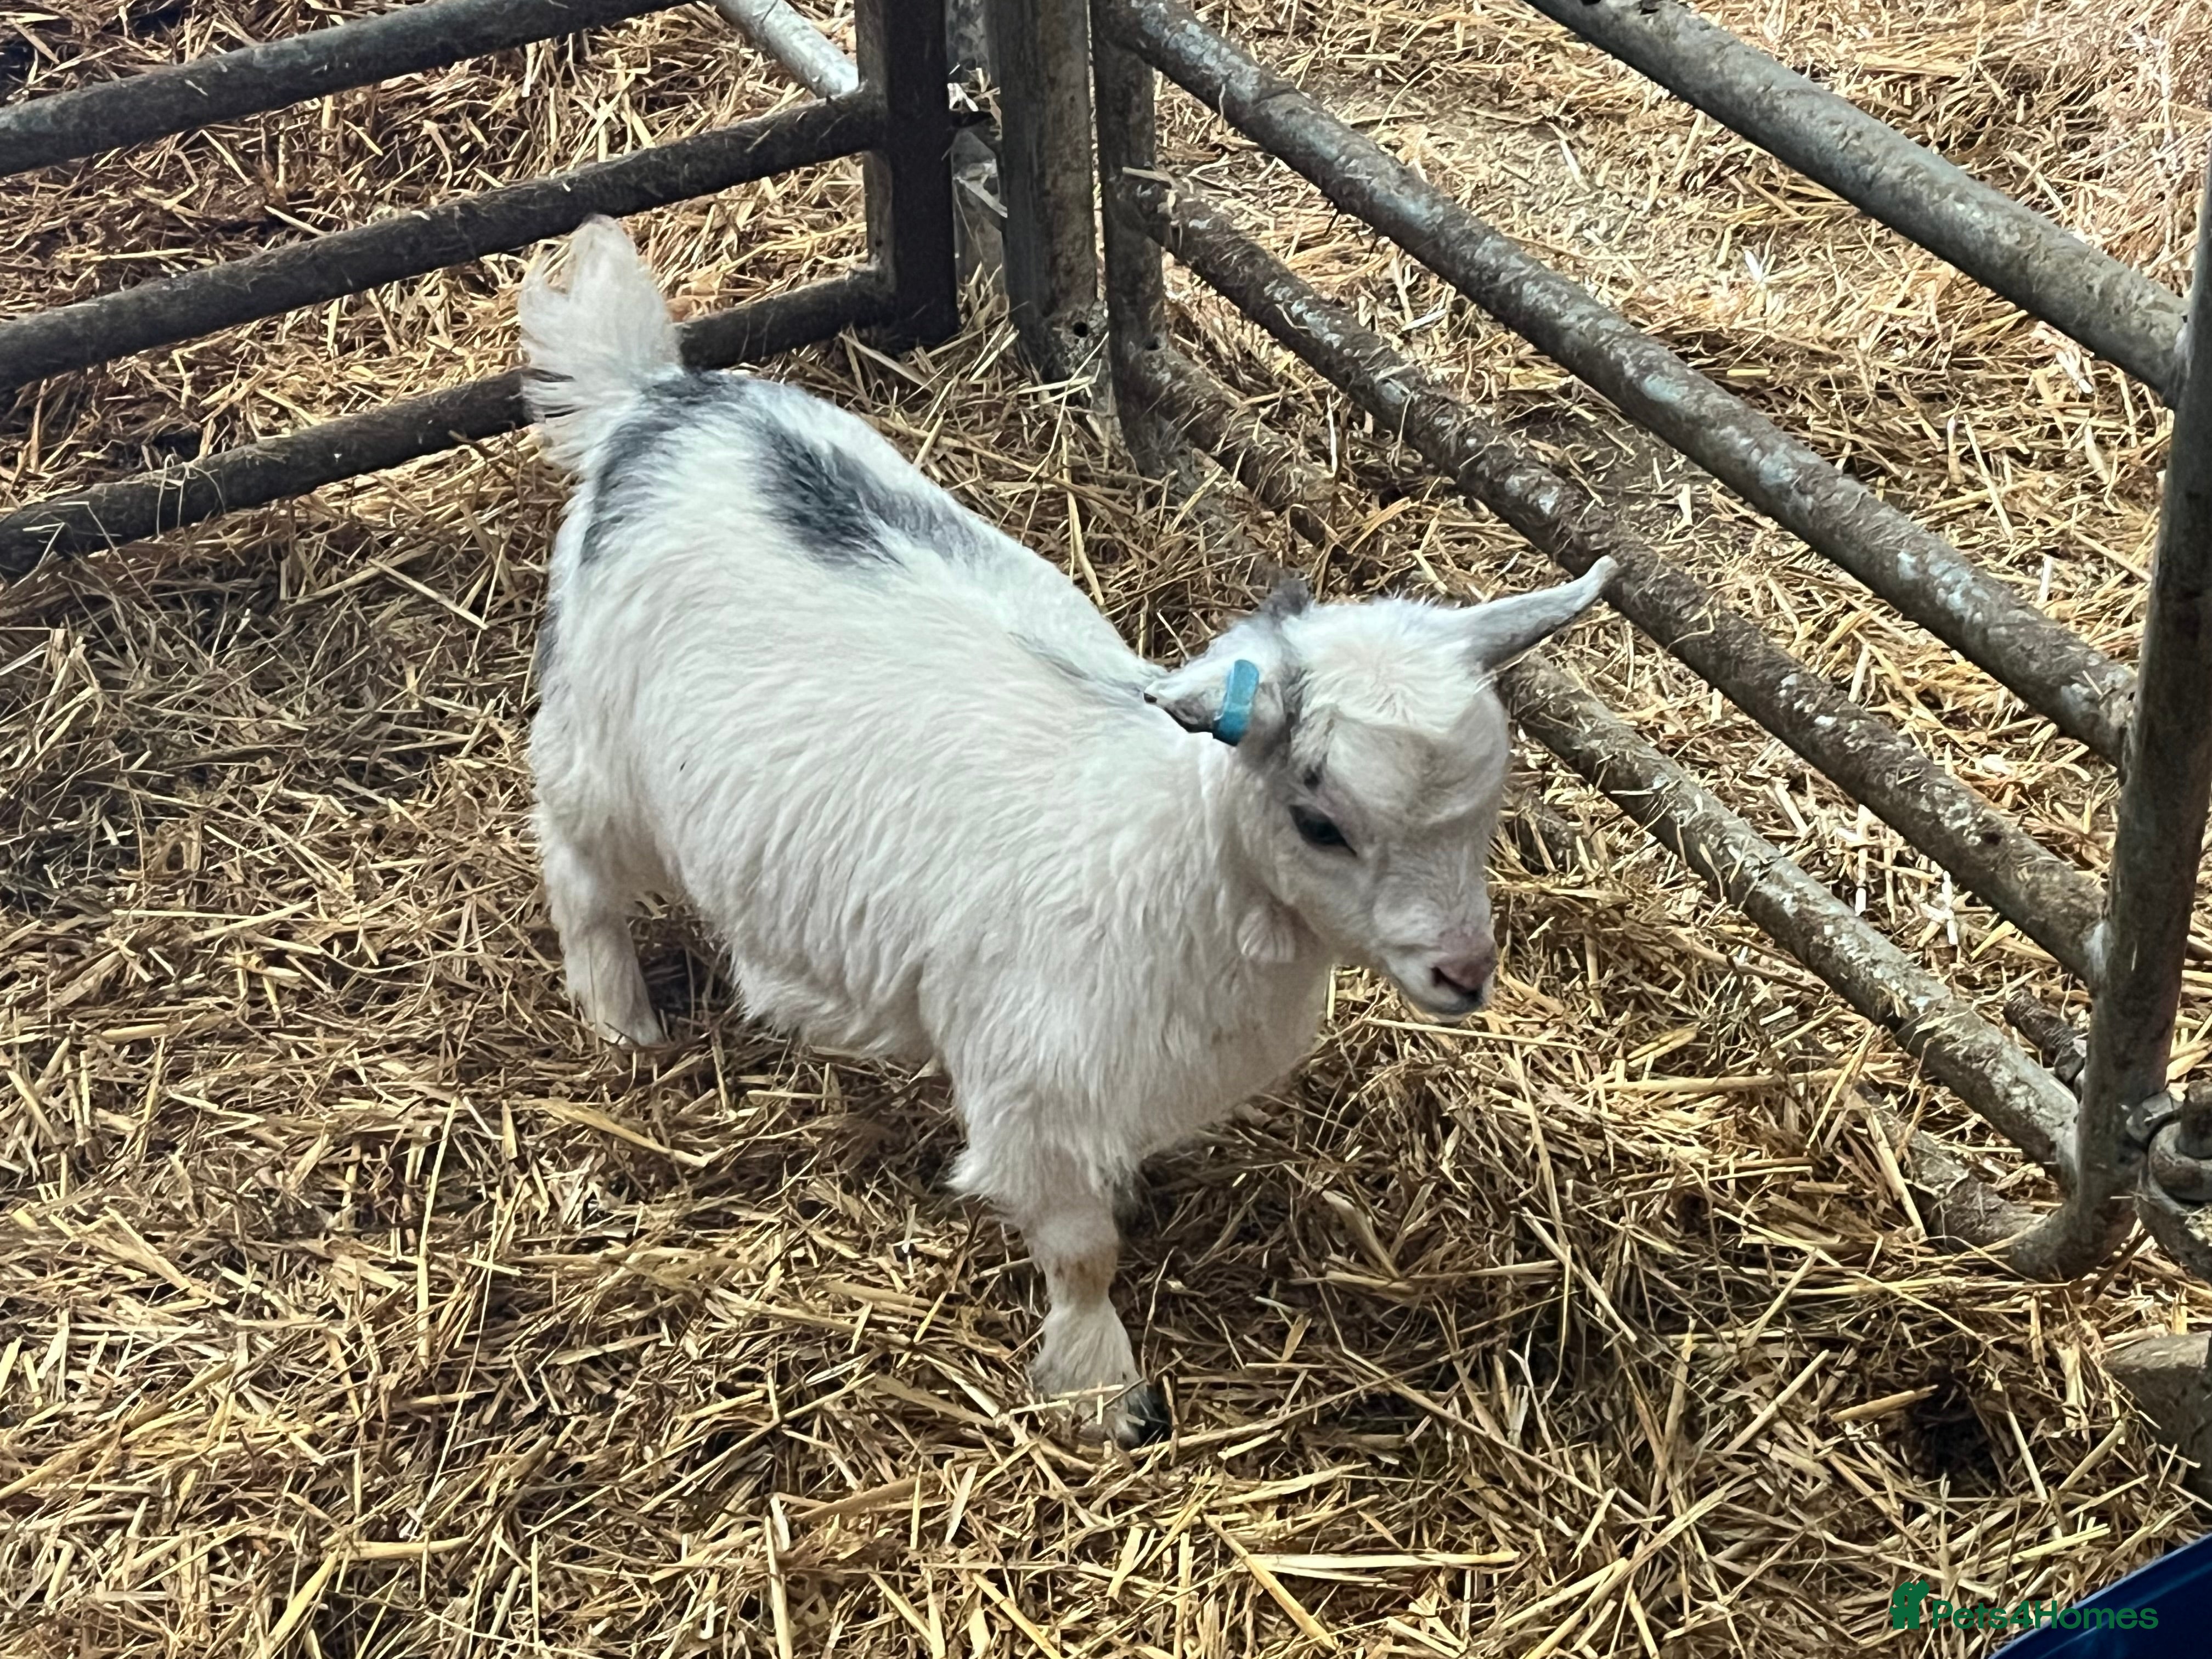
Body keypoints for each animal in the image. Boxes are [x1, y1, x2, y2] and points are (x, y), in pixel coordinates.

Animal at [519, 216, 1614, 1446]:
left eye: (1492, 801)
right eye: (1320, 821)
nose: (1464, 971)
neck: (1169, 866)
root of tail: (652, 402)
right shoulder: (1033, 1093)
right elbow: (1083, 1253)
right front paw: (1100, 1390)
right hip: (598, 750)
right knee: (577, 869)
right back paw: (621, 1018)